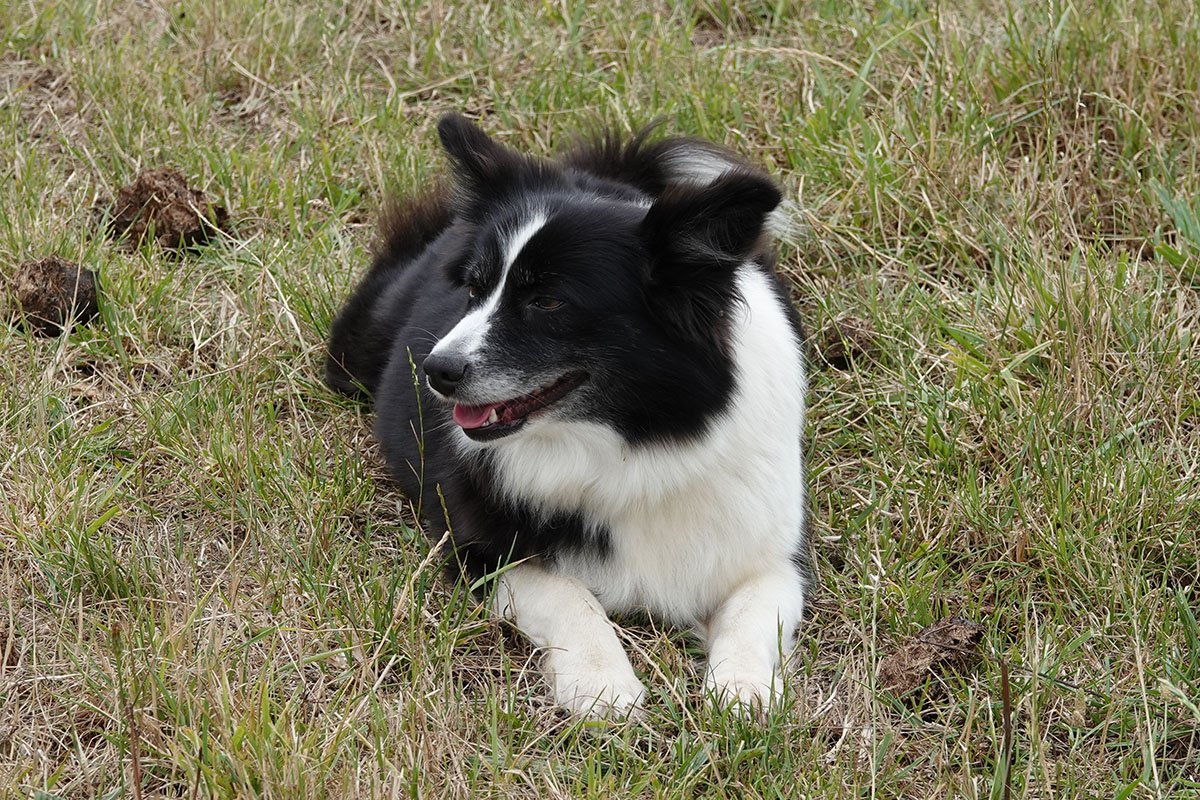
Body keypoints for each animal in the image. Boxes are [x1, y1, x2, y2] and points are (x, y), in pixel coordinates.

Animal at [325, 113, 811, 716]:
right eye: (474, 288)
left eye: (549, 301)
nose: (434, 369)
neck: (632, 441)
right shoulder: (481, 549)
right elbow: (569, 597)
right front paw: (604, 685)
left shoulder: (776, 551)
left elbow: (752, 610)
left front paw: (744, 691)